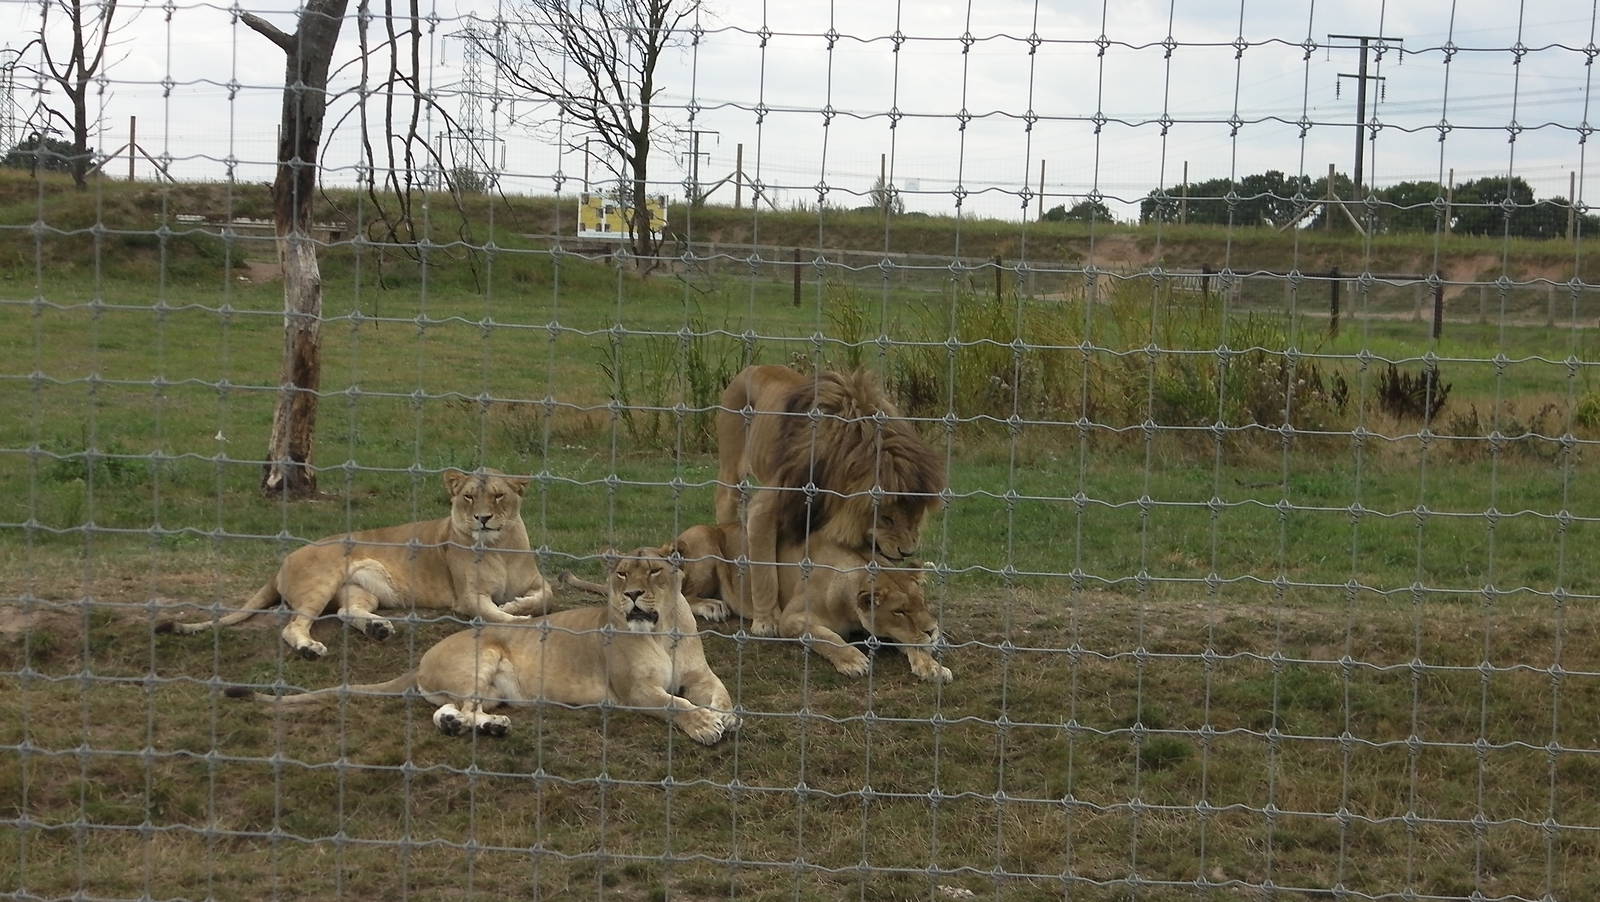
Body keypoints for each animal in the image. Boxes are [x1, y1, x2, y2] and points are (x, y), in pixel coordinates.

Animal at [159, 468, 554, 659]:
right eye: (469, 496)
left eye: (498, 495)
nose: (482, 519)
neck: (501, 548)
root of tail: (283, 562)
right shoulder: (467, 597)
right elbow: (495, 614)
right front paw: (517, 617)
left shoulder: (535, 581)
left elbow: (547, 595)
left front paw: (518, 603)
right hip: (321, 583)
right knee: (293, 626)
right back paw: (309, 648)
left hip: (363, 589)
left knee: (347, 612)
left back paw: (378, 628)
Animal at [226, 546, 739, 745]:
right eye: (620, 574)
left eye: (653, 571)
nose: (631, 595)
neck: (662, 629)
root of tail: (420, 660)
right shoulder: (633, 692)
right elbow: (674, 703)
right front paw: (703, 725)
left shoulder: (702, 675)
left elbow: (721, 693)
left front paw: (726, 717)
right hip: (484, 655)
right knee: (455, 708)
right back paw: (486, 727)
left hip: (491, 688)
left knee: (449, 711)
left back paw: (481, 726)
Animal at [565, 522, 952, 683]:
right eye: (899, 610)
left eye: (922, 603)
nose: (935, 631)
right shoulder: (791, 620)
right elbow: (826, 637)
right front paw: (853, 659)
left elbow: (910, 643)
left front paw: (930, 663)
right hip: (704, 545)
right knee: (682, 594)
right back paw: (713, 606)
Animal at [715, 365, 946, 637]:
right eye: (887, 518)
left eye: (916, 519)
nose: (907, 552)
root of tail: (753, 367)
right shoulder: (767, 507)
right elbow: (765, 572)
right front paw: (766, 621)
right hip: (732, 471)